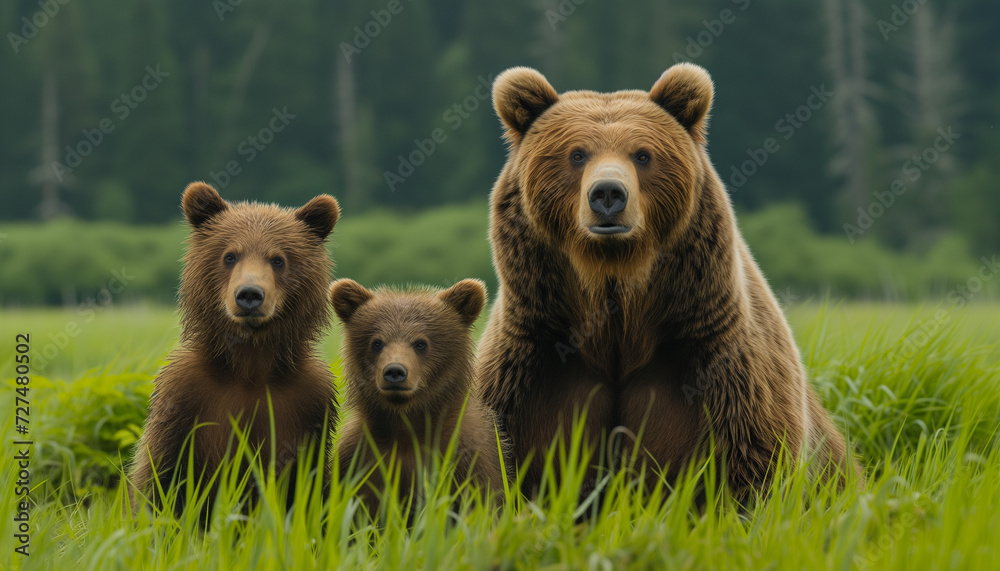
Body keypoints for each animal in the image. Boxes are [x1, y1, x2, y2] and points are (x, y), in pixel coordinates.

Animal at [128, 181, 340, 520]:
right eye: (230, 255)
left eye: (277, 259)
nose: (249, 294)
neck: (250, 365)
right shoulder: (184, 400)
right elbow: (162, 479)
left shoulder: (308, 405)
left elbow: (308, 492)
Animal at [330, 278, 506, 518]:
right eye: (377, 342)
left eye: (420, 343)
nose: (394, 371)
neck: (407, 426)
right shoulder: (359, 460)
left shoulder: (468, 457)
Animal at [476, 63, 861, 502]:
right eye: (576, 154)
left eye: (642, 154)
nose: (608, 194)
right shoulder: (531, 367)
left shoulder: (718, 362)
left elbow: (753, 463)